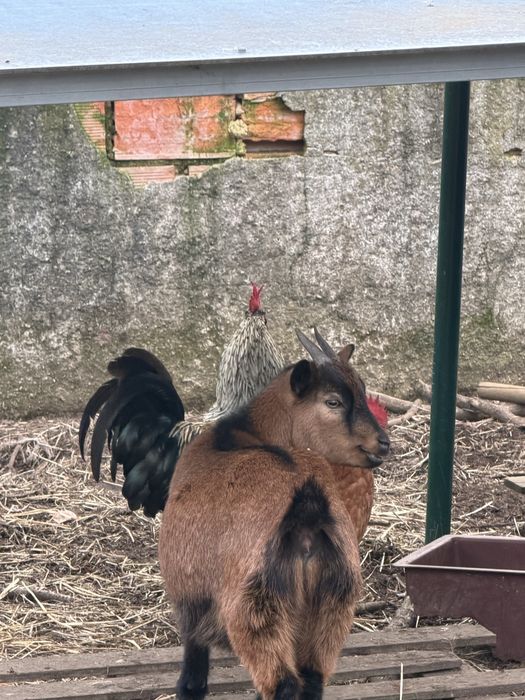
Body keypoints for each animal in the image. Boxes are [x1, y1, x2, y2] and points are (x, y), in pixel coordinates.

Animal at [159, 329, 390, 700]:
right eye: (333, 401)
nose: (383, 443)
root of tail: (308, 511)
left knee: (282, 684)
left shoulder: (189, 600)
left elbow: (193, 674)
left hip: (255, 610)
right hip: (331, 606)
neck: (242, 434)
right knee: (312, 678)